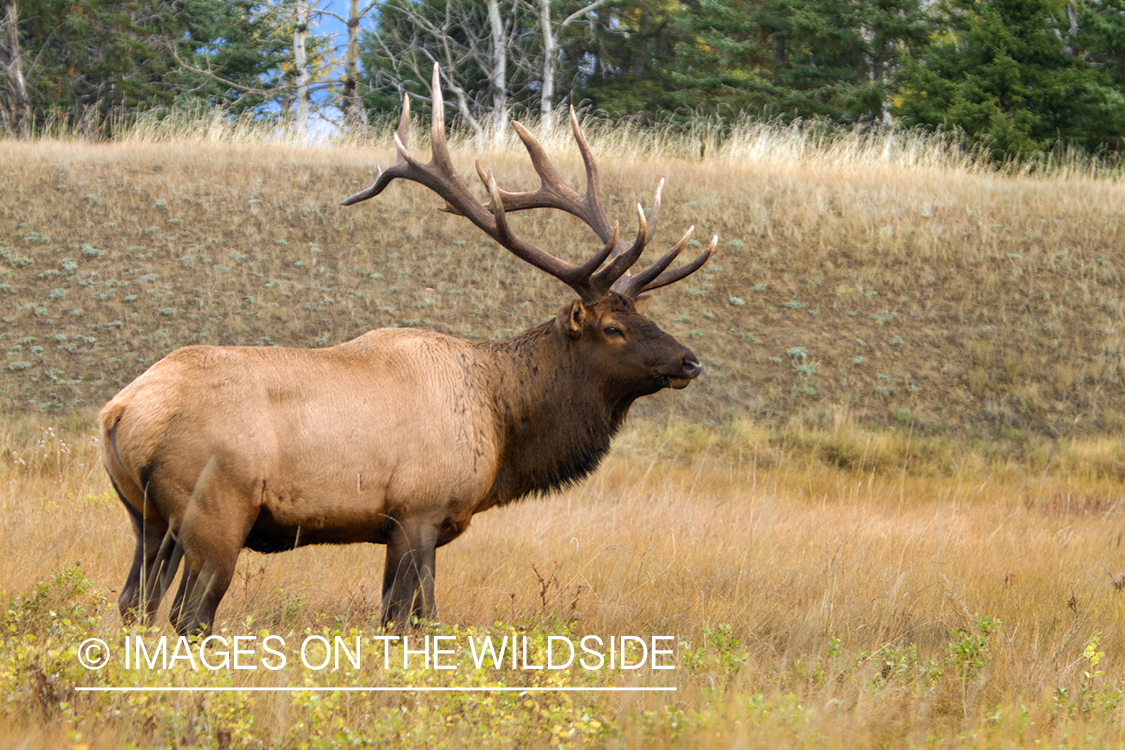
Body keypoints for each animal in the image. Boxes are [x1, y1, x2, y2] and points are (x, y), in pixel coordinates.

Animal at [96, 64, 711, 634]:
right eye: (613, 328)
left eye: (647, 315)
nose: (690, 360)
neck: (502, 420)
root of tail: (120, 411)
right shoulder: (418, 510)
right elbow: (410, 618)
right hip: (216, 509)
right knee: (188, 615)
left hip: (145, 518)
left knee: (132, 604)